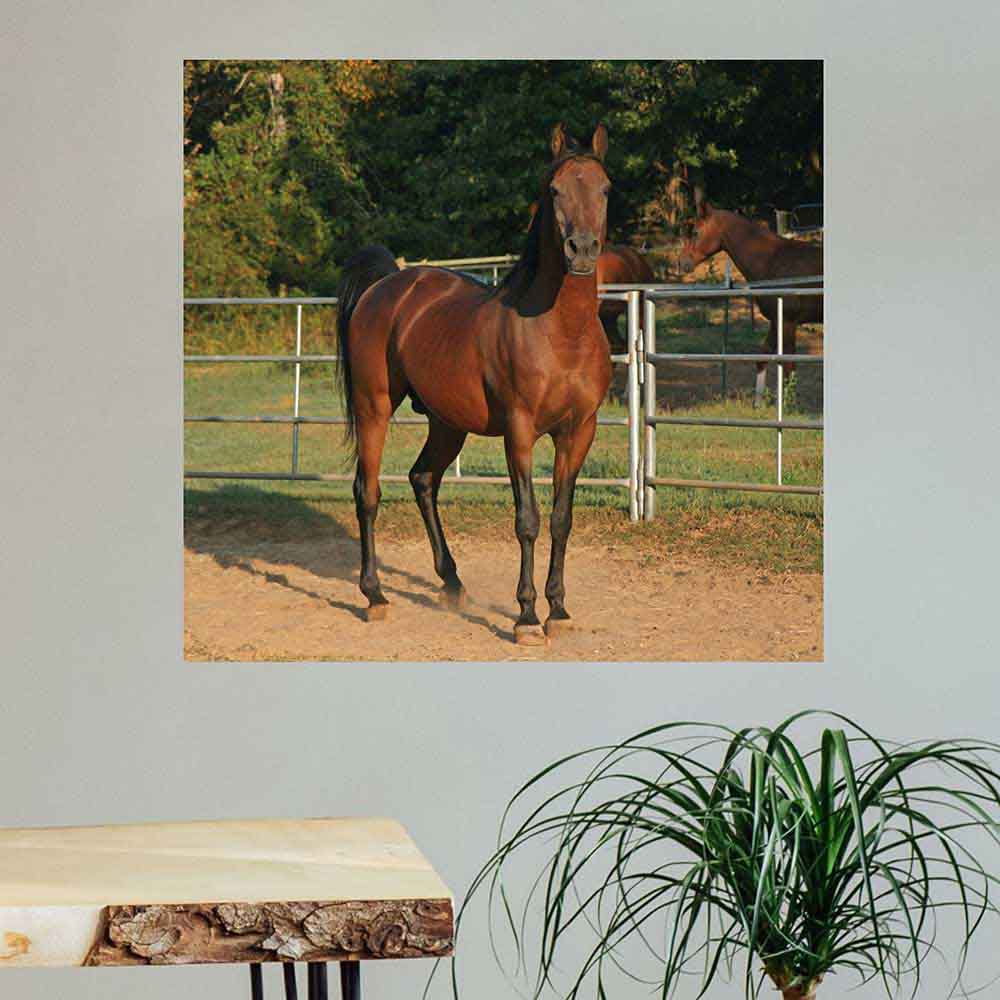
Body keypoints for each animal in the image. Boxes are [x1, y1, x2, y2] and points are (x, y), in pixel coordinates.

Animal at [335, 123, 613, 645]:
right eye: (554, 190)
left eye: (605, 189)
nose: (582, 249)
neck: (561, 332)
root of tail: (386, 286)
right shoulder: (519, 432)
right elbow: (528, 520)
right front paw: (526, 617)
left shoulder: (579, 431)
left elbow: (561, 519)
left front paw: (558, 610)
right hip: (373, 408)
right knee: (368, 492)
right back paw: (375, 596)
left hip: (447, 423)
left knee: (423, 479)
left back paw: (452, 583)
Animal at [678, 201, 823, 405]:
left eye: (696, 232)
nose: (681, 262)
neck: (773, 259)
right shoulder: (776, 321)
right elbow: (762, 356)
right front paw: (758, 403)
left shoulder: (787, 322)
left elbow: (789, 364)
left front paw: (789, 405)